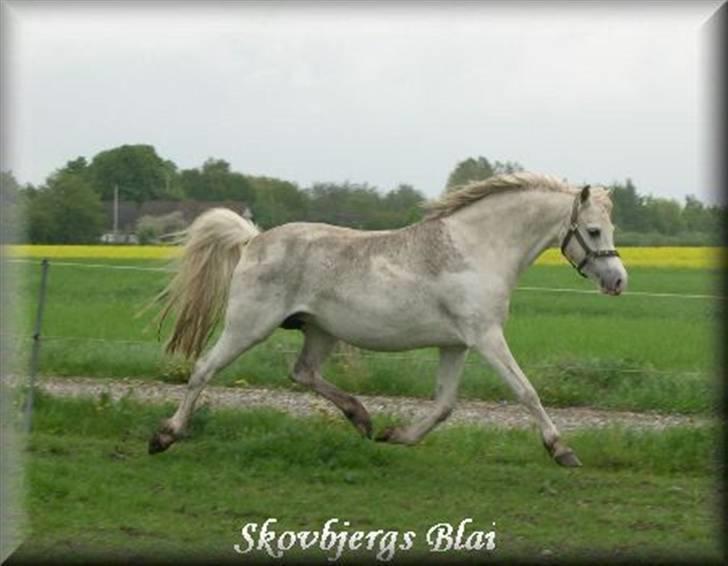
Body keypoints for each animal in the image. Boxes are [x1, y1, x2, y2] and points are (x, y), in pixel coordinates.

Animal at [148, 172, 624, 466]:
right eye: (594, 231)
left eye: (610, 230)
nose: (619, 280)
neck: (476, 248)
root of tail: (254, 240)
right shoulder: (486, 337)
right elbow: (526, 392)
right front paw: (562, 451)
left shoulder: (455, 344)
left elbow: (445, 405)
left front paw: (397, 436)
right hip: (248, 326)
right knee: (203, 370)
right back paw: (165, 435)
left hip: (319, 331)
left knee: (302, 372)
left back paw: (361, 418)